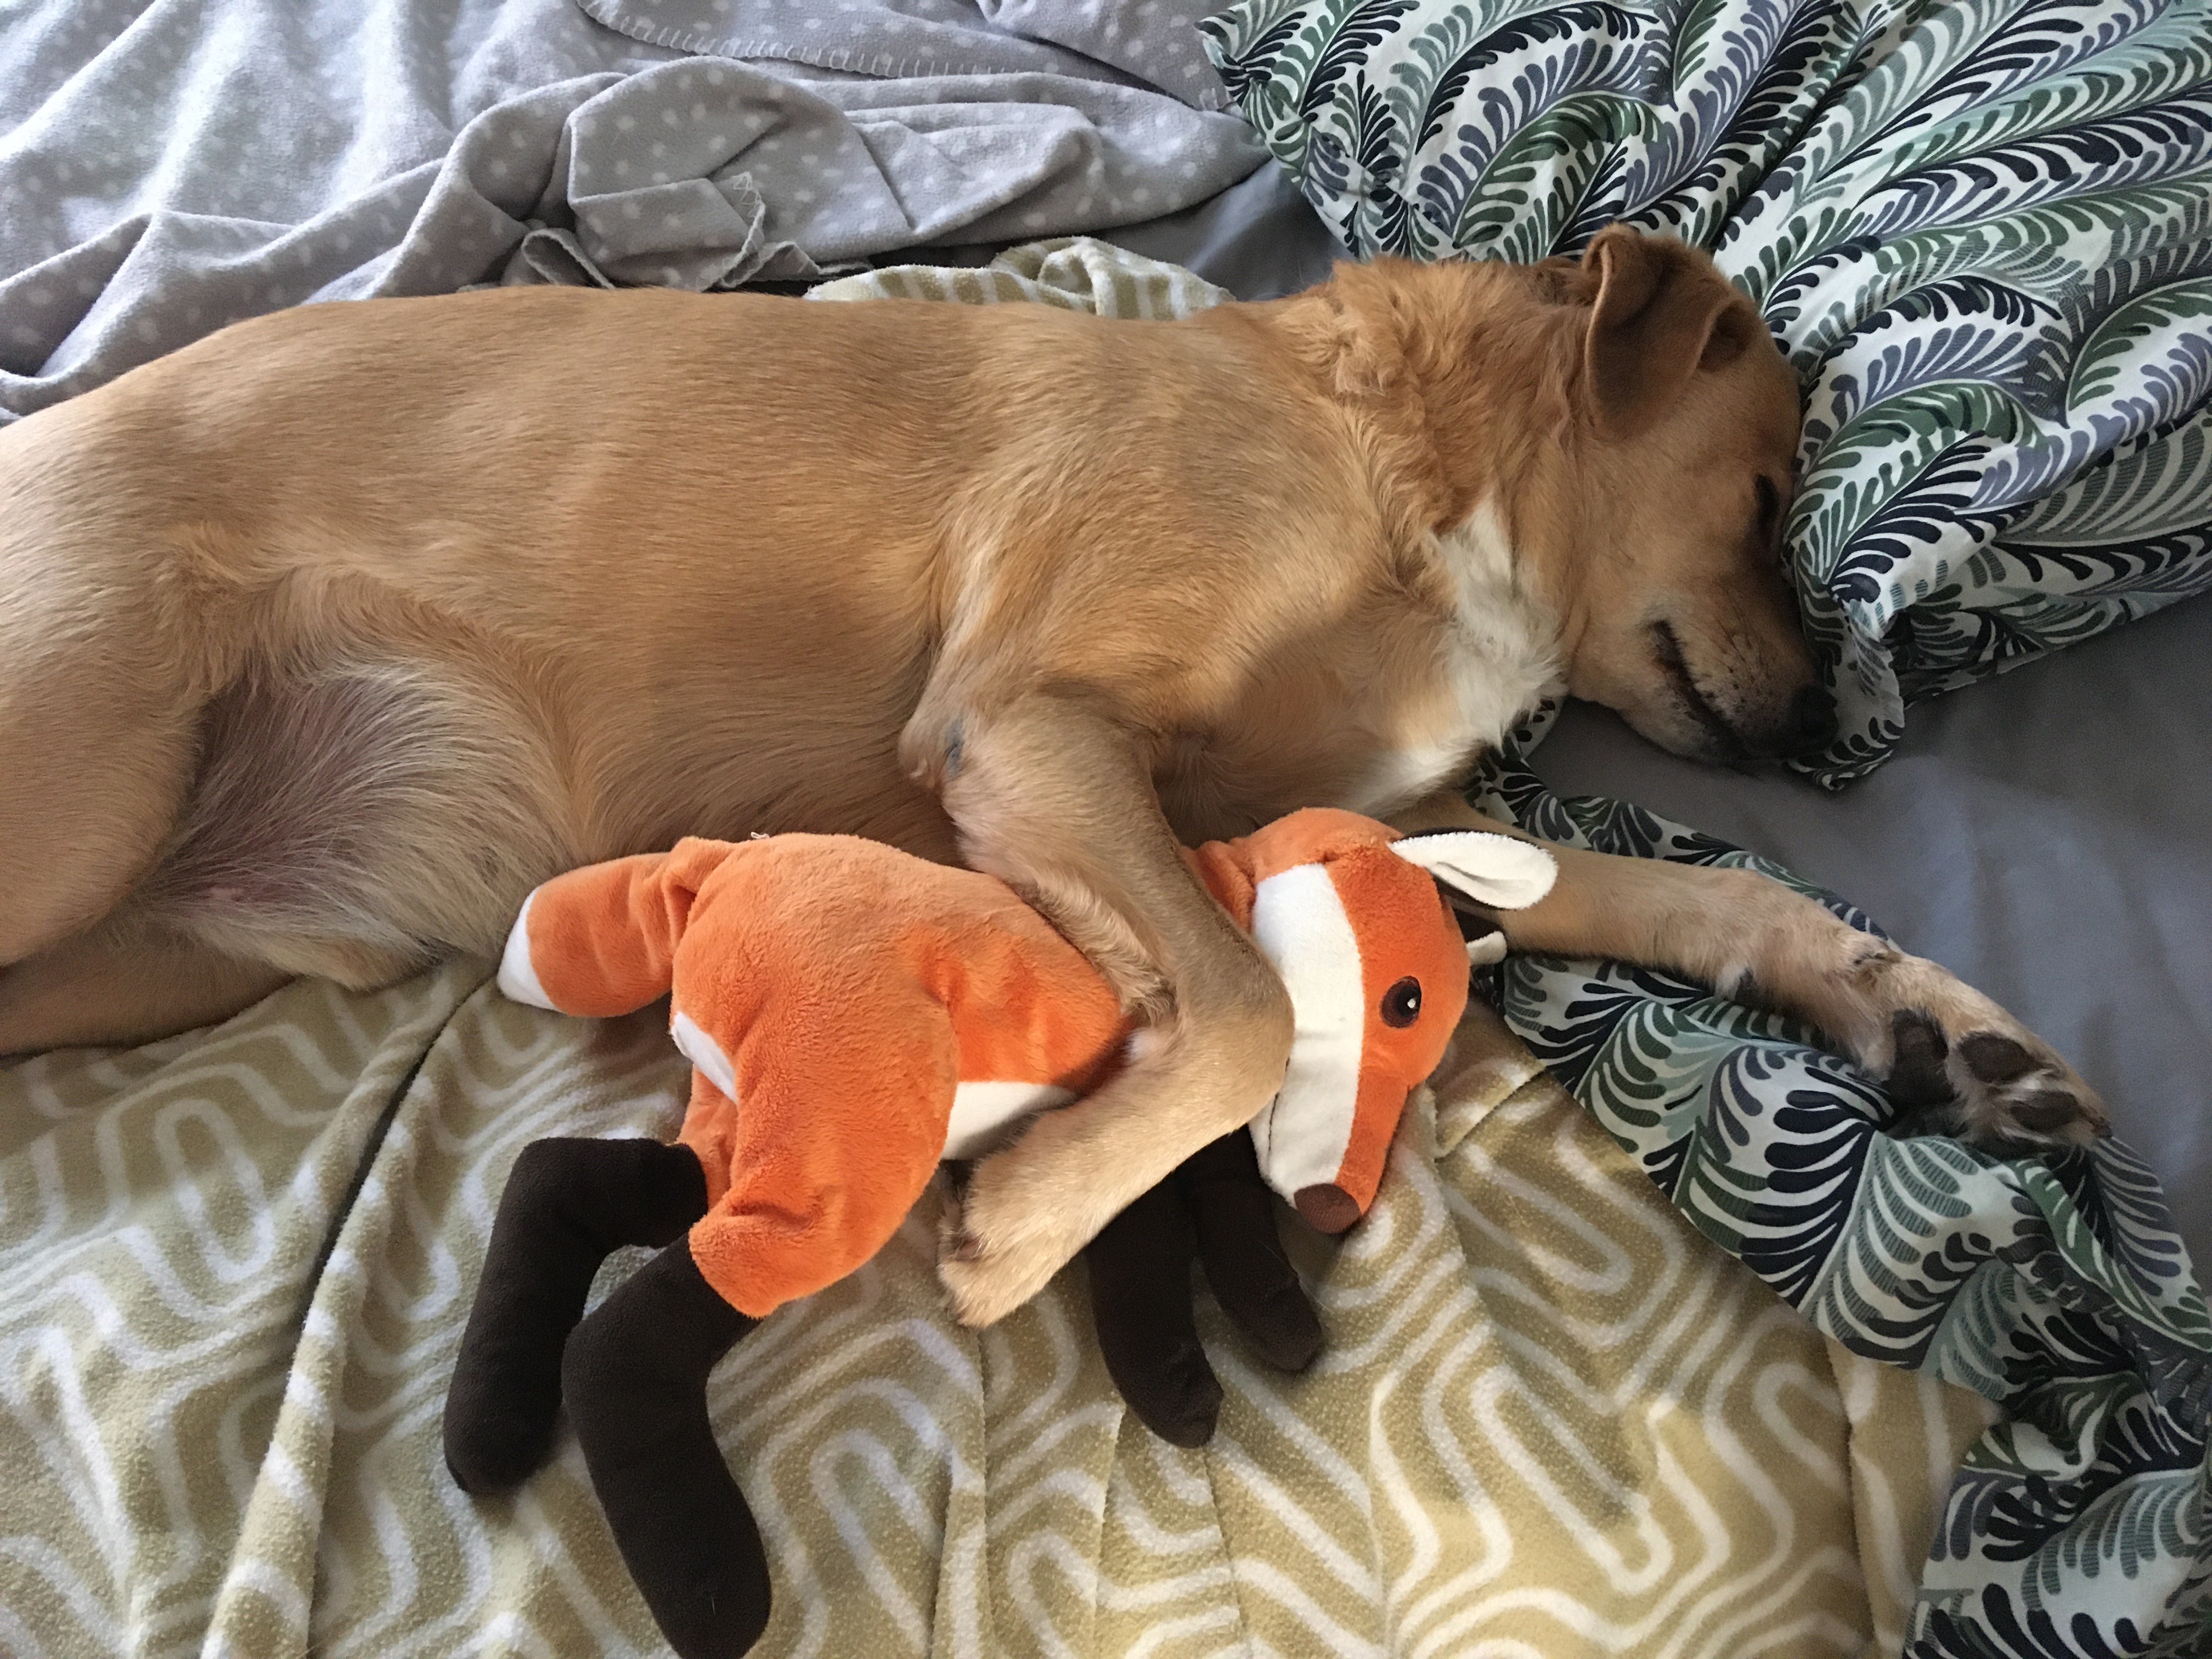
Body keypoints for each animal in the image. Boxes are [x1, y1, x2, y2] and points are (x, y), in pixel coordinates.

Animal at [0, 228, 2106, 1336]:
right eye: (1763, 500)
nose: (1830, 724)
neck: (1403, 471)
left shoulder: (1353, 823)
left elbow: (1709, 895)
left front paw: (1929, 1022)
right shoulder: (1028, 726)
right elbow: (1244, 1009)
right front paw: (1032, 1219)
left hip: (148, 949)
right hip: (72, 789)